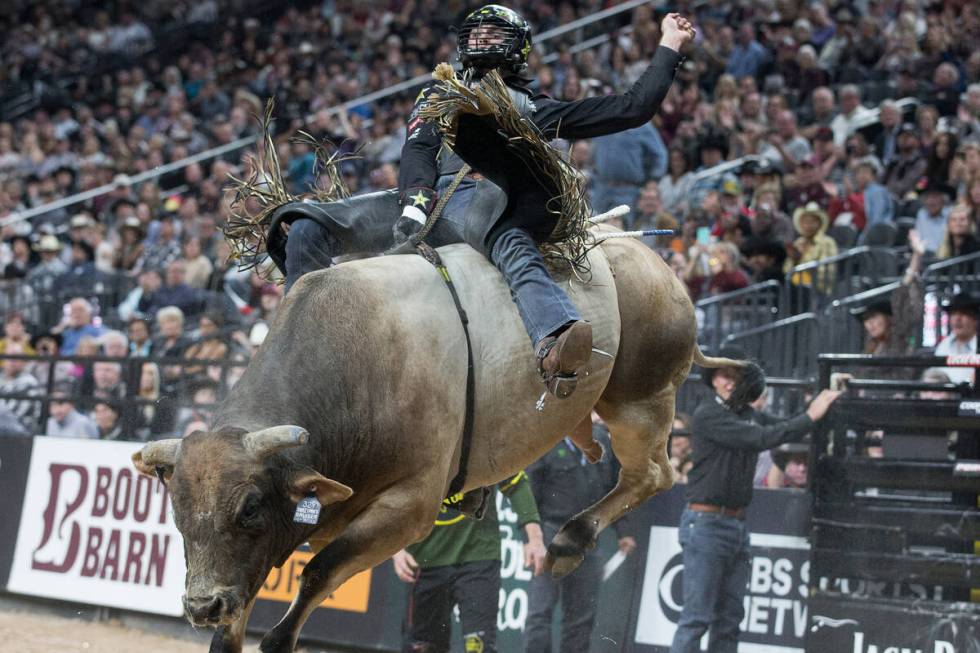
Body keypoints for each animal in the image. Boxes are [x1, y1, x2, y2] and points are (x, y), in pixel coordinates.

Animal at [132, 236, 744, 652]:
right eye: (178, 514)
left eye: (250, 508)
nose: (202, 604)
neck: (361, 365)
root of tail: (644, 256)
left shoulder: (410, 507)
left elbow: (317, 573)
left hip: (641, 401)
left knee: (653, 475)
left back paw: (570, 540)